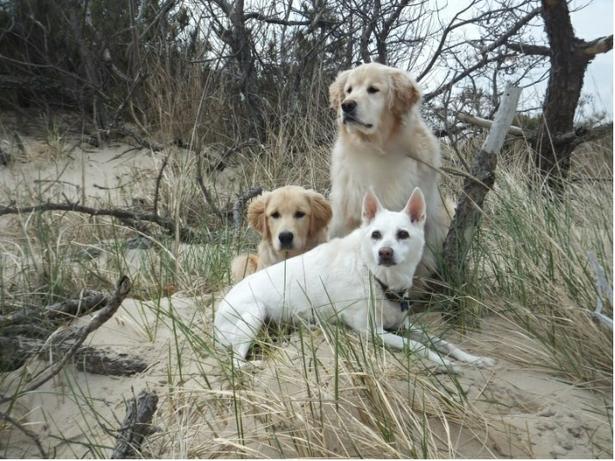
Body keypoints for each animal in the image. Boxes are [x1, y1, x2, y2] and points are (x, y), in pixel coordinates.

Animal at [217, 189, 496, 372]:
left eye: (403, 234)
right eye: (376, 235)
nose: (385, 253)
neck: (378, 279)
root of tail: (217, 310)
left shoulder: (402, 324)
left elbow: (444, 343)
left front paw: (473, 359)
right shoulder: (373, 332)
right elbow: (420, 347)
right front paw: (445, 364)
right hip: (254, 314)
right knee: (235, 361)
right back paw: (252, 365)